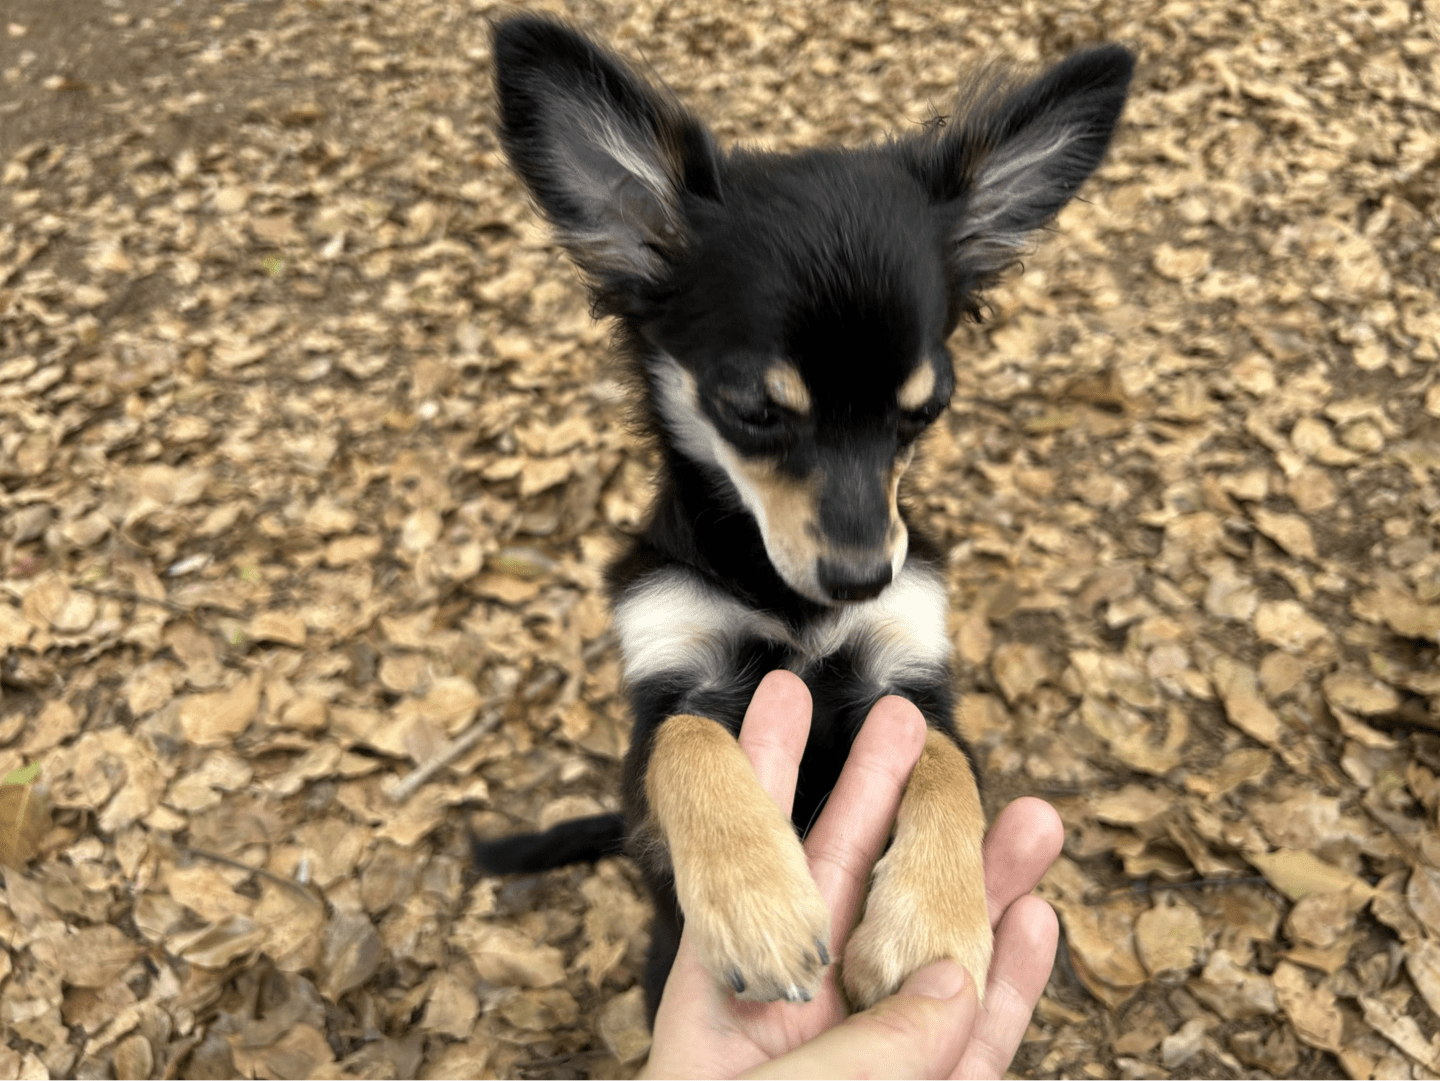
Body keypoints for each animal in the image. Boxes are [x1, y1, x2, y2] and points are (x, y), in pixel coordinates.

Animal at [478, 14, 1128, 1024]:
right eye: (753, 411)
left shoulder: (911, 678)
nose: (862, 575)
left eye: (926, 410)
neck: (782, 596)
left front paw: (932, 922)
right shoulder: (668, 689)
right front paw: (758, 903)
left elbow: (945, 765)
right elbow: (688, 740)